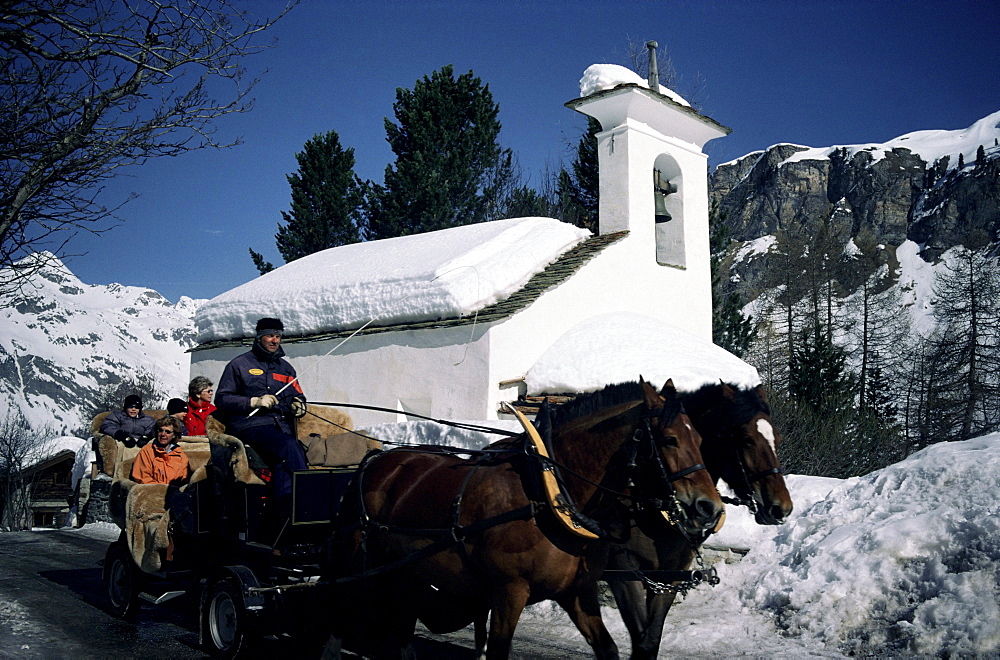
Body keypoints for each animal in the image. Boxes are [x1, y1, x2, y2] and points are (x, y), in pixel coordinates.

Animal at [324, 378, 724, 656]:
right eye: (670, 440)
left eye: (702, 440)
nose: (711, 508)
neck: (549, 492)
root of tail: (376, 461)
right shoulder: (508, 592)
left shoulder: (577, 592)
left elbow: (608, 649)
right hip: (358, 564)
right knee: (340, 617)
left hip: (410, 574)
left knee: (402, 631)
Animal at [604, 382, 792, 660]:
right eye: (746, 439)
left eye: (777, 440)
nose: (782, 509)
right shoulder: (624, 573)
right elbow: (642, 641)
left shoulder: (668, 577)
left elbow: (651, 639)